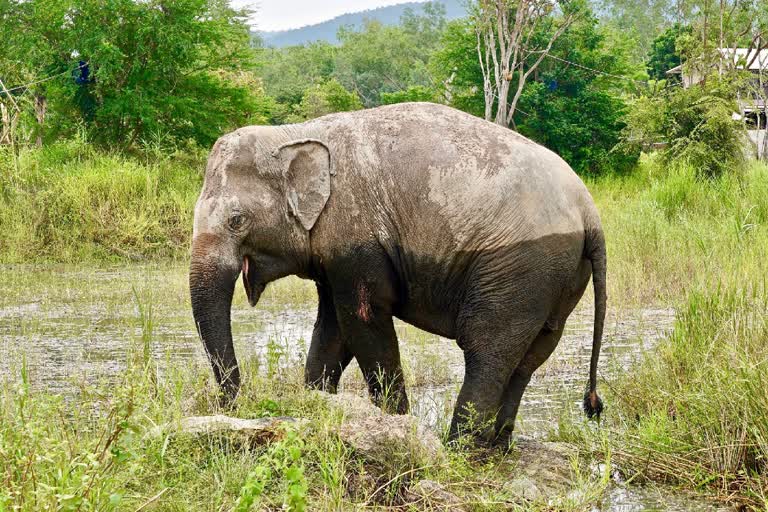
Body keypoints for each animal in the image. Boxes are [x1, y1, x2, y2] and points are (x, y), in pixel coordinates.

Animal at [188, 102, 608, 442]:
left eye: (237, 220)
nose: (235, 406)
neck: (293, 134)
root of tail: (589, 211)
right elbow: (333, 329)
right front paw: (317, 403)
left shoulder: (358, 235)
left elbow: (364, 323)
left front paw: (395, 423)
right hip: (560, 276)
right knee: (530, 356)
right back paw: (496, 447)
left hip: (521, 267)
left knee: (487, 348)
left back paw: (459, 449)